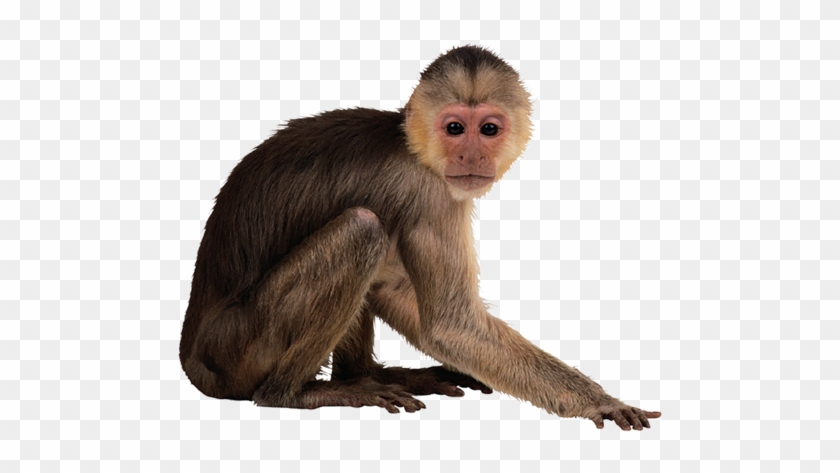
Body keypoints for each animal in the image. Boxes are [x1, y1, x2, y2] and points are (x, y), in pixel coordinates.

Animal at [179, 45, 661, 430]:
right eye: (454, 129)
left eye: (488, 129)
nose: (470, 156)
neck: (415, 151)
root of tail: (192, 358)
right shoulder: (431, 193)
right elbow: (450, 325)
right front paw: (599, 401)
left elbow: (395, 290)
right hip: (239, 349)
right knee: (363, 227)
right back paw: (297, 393)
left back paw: (366, 375)